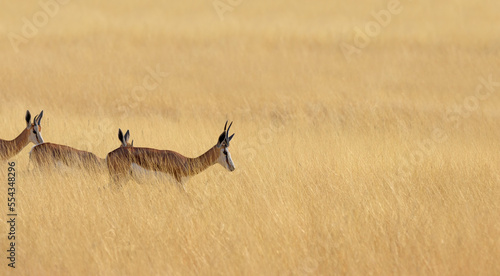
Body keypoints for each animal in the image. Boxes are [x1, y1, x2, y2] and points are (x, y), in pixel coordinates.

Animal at [106, 121, 235, 190]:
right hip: (119, 179)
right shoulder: (180, 185)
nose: (232, 167)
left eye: (229, 151)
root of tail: (109, 154)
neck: (187, 162)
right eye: (225, 151)